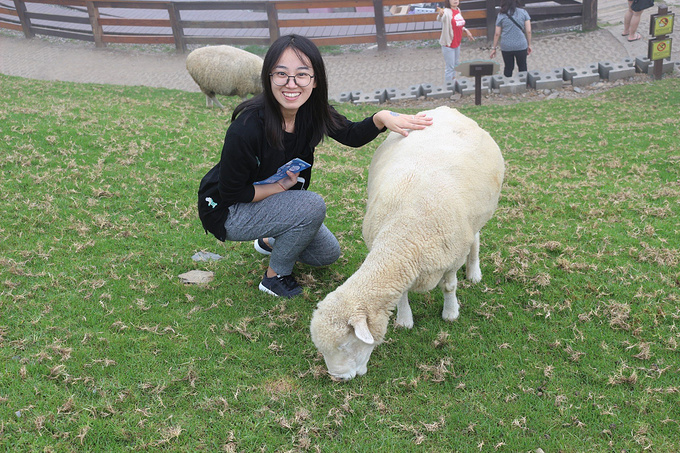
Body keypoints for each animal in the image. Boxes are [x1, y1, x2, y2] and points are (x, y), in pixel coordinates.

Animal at [310, 105, 504, 378]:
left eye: (346, 345)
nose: (337, 378)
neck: (401, 237)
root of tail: (446, 108)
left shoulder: (452, 255)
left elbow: (449, 286)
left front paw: (450, 313)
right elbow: (402, 295)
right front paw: (404, 320)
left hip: (476, 215)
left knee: (475, 237)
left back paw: (474, 272)